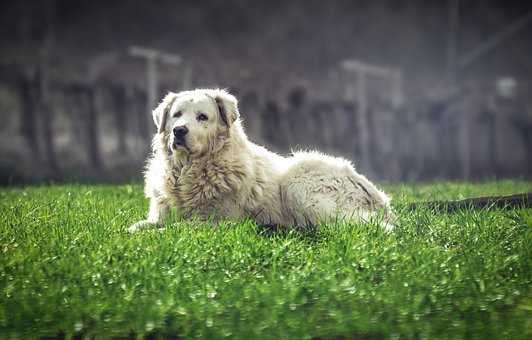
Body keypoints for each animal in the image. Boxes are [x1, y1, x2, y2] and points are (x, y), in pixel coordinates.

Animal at [129, 87, 394, 232]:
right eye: (177, 115)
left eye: (202, 117)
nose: (179, 131)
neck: (190, 170)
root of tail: (378, 196)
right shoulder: (159, 214)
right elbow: (138, 226)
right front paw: (139, 230)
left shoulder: (219, 222)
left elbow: (175, 228)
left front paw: (156, 235)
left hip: (298, 182)